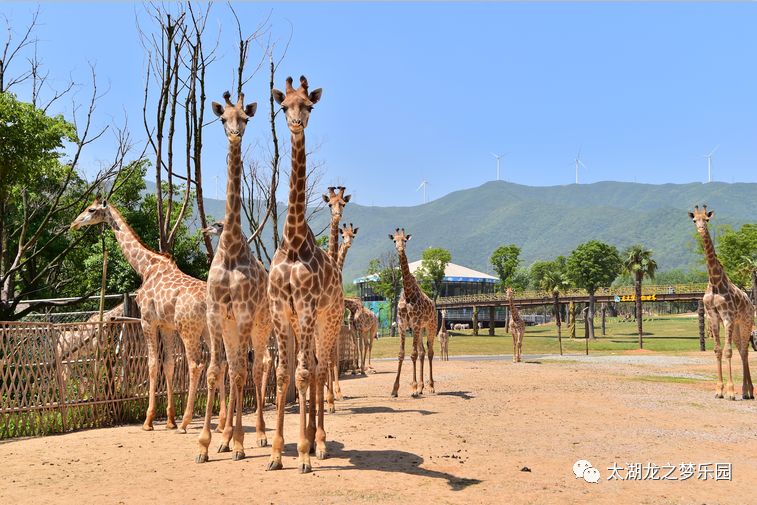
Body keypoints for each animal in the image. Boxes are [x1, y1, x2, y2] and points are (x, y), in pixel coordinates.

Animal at [70, 201, 226, 434]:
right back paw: (222, 423)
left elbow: (152, 365)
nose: (74, 223)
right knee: (221, 363)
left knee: (196, 365)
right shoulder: (166, 326)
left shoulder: (147, 321)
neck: (146, 267)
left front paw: (149, 421)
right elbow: (168, 365)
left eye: (91, 209)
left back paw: (186, 423)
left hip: (189, 329)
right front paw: (170, 420)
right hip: (209, 330)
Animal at [390, 228, 438, 398]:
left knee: (429, 352)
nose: (400, 249)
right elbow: (401, 354)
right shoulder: (403, 325)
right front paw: (395, 390)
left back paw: (430, 387)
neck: (408, 293)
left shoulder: (415, 323)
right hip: (420, 329)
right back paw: (422, 387)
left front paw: (413, 388)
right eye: (394, 240)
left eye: (405, 240)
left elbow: (413, 354)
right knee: (423, 352)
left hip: (430, 326)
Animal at [688, 204, 752, 398]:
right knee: (742, 350)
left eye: (707, 219)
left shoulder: (727, 316)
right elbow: (717, 350)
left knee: (744, 350)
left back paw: (747, 391)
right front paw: (719, 390)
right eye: (695, 220)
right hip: (737, 326)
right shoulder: (713, 316)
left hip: (745, 322)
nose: (701, 229)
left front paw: (730, 392)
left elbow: (728, 351)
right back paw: (746, 391)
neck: (715, 282)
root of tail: (750, 301)